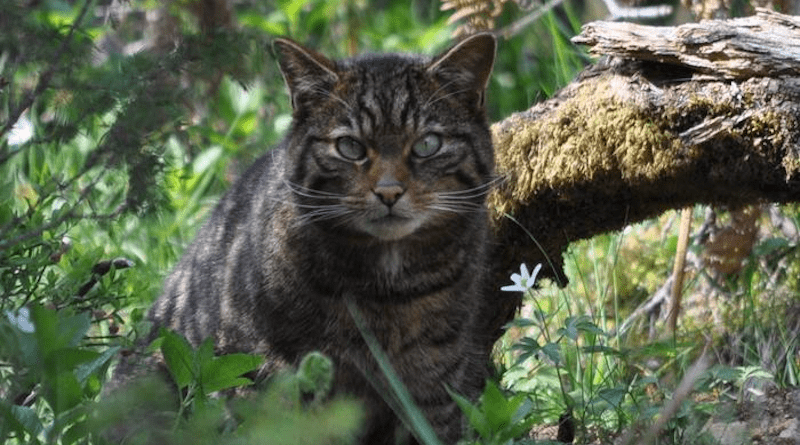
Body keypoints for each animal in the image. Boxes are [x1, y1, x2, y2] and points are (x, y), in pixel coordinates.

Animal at [147, 34, 494, 444]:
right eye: (350, 147)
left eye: (428, 144)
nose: (389, 192)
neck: (389, 291)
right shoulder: (262, 369)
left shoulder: (435, 377)